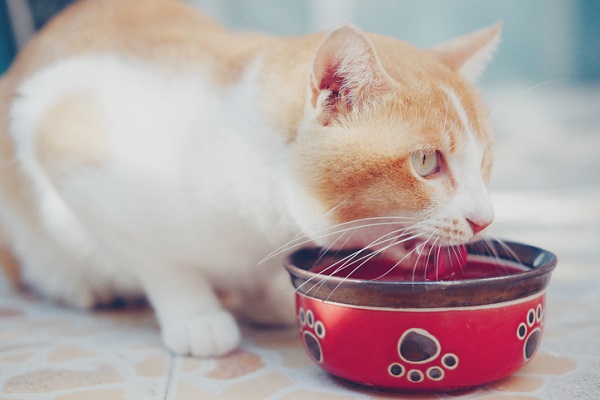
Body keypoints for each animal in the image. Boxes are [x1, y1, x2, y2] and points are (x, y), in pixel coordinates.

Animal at [0, 0, 496, 356]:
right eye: (426, 162)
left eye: (485, 160)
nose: (485, 219)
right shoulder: (58, 125)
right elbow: (157, 261)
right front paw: (195, 314)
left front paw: (264, 296)